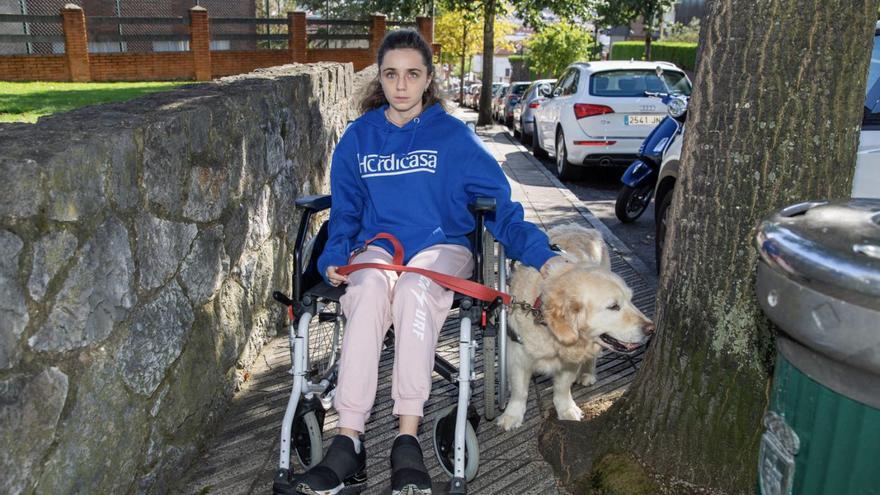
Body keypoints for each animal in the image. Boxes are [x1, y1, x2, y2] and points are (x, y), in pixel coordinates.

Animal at [496, 225, 652, 430]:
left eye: (631, 300)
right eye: (613, 306)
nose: (651, 329)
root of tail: (584, 228)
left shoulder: (570, 362)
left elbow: (562, 388)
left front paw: (567, 410)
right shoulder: (517, 356)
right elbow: (519, 390)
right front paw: (512, 415)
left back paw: (587, 373)